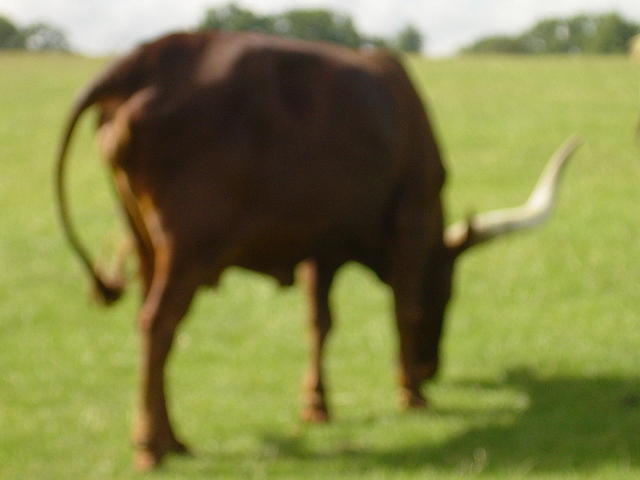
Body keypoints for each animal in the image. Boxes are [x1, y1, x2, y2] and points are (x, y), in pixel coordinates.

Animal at [56, 31, 580, 468]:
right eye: (448, 294)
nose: (431, 368)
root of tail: (147, 58)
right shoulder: (409, 221)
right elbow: (404, 309)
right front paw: (411, 395)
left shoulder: (317, 246)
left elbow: (318, 323)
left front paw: (317, 405)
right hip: (188, 248)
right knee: (158, 326)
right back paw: (152, 445)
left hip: (146, 242)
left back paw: (173, 438)